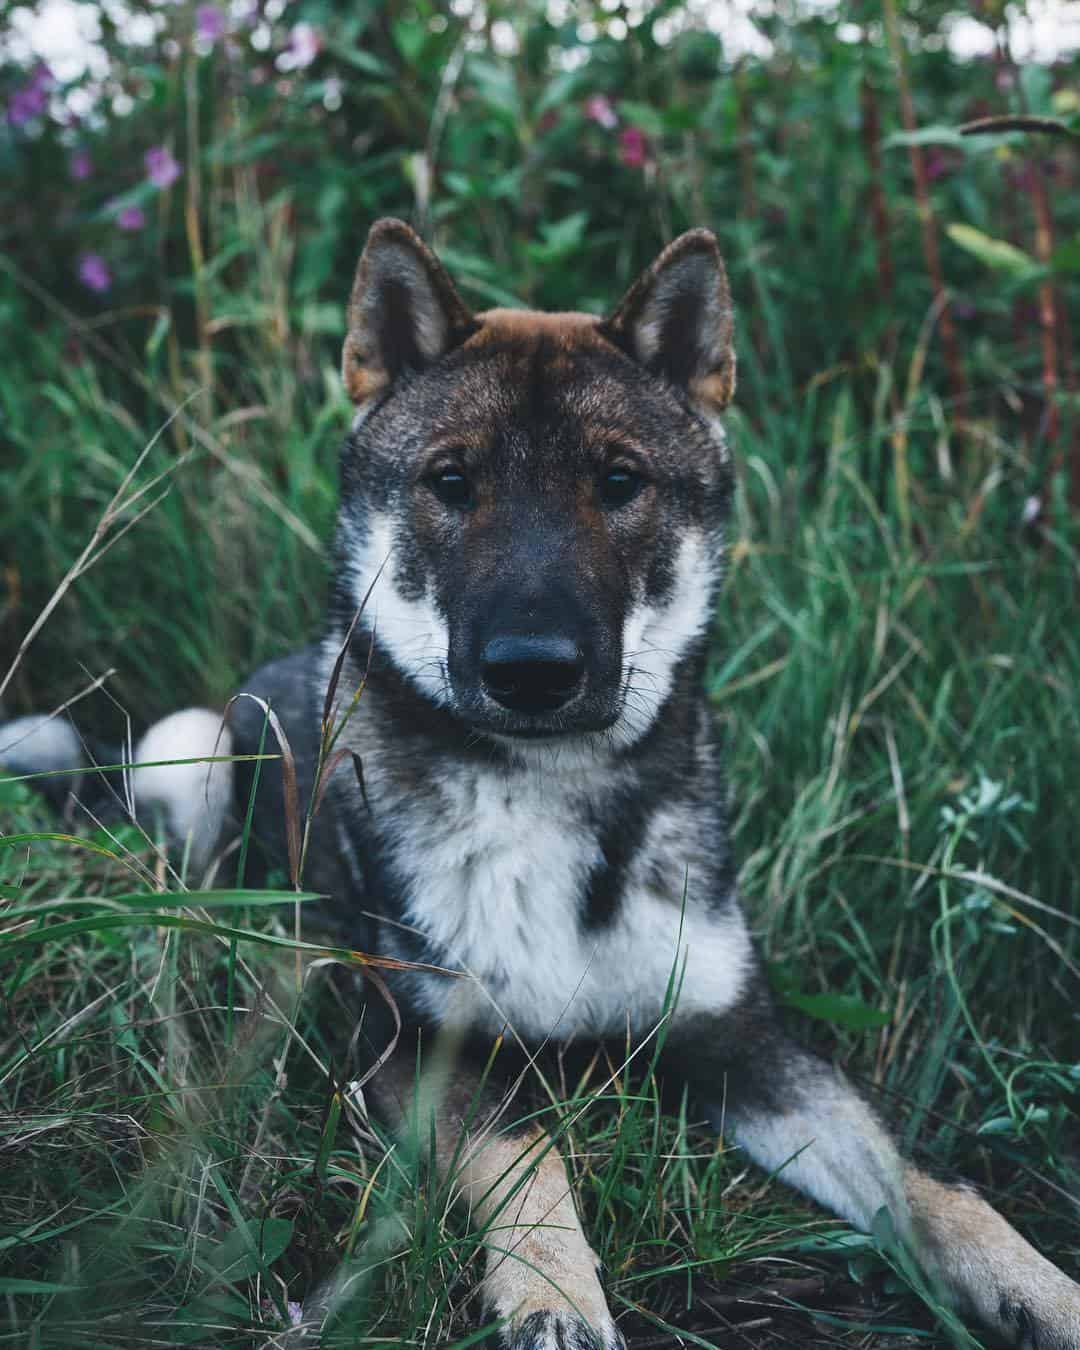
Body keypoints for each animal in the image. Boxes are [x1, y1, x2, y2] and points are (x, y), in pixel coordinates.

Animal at [2, 224, 1080, 1350]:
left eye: (619, 480)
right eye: (450, 480)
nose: (532, 670)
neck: (552, 796)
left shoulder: (742, 1039)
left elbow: (923, 1177)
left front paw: (1041, 1288)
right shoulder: (417, 1047)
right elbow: (526, 1156)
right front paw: (554, 1296)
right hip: (192, 749)